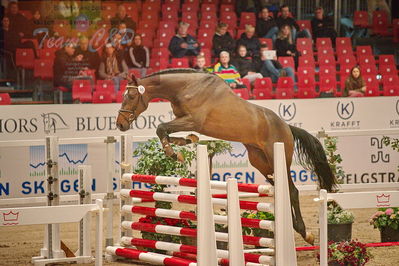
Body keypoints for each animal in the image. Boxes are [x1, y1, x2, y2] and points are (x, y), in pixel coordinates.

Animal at [117, 69, 340, 245]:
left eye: (131, 95)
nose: (120, 124)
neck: (187, 87)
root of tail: (286, 126)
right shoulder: (184, 120)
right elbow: (167, 131)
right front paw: (186, 141)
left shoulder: (193, 120)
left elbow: (161, 127)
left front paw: (174, 153)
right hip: (260, 162)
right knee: (281, 187)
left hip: (278, 157)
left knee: (292, 191)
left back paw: (305, 232)